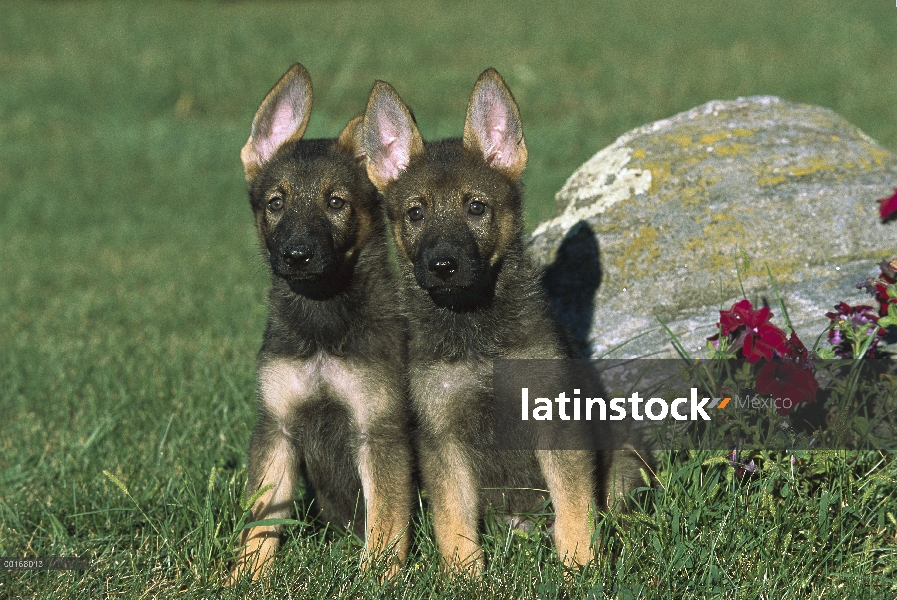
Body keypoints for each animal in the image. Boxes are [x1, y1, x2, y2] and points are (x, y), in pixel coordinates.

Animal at [231, 64, 412, 580]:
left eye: (335, 202)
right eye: (275, 203)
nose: (296, 255)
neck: (321, 322)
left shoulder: (379, 430)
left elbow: (386, 524)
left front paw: (377, 581)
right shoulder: (276, 427)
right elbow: (259, 523)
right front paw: (245, 578)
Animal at [356, 70, 624, 572]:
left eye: (476, 207)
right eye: (415, 213)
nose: (443, 265)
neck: (475, 332)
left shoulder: (556, 422)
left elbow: (575, 509)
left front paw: (581, 570)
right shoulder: (442, 439)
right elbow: (454, 526)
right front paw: (467, 579)